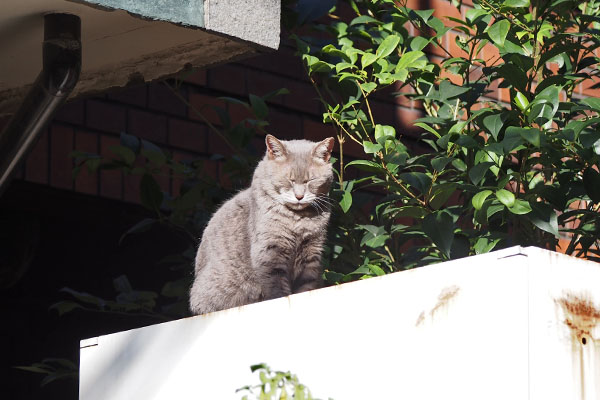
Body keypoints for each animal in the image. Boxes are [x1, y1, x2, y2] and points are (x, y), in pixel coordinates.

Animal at [190, 134, 336, 316]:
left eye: (311, 181)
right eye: (288, 180)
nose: (299, 196)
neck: (297, 221)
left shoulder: (312, 251)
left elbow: (307, 284)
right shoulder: (270, 249)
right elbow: (276, 284)